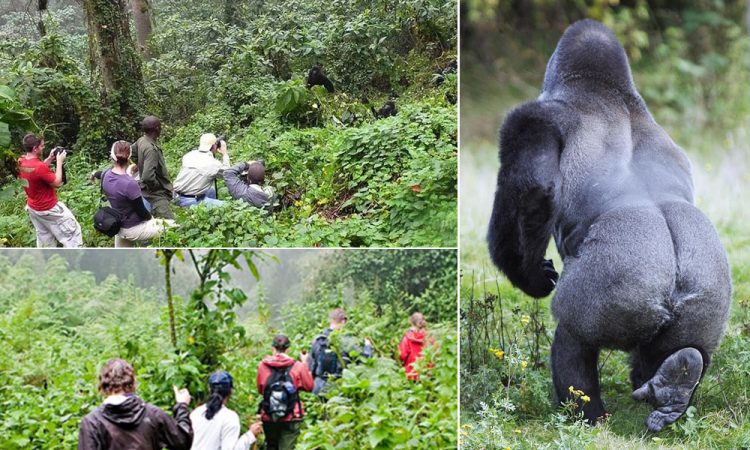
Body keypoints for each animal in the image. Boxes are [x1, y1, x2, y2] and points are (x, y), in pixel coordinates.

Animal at [487, 19, 731, 432]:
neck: (609, 92)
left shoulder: (533, 118)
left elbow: (533, 191)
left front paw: (530, 277)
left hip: (620, 289)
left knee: (573, 337)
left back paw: (586, 416)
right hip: (706, 299)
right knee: (682, 350)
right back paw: (675, 387)